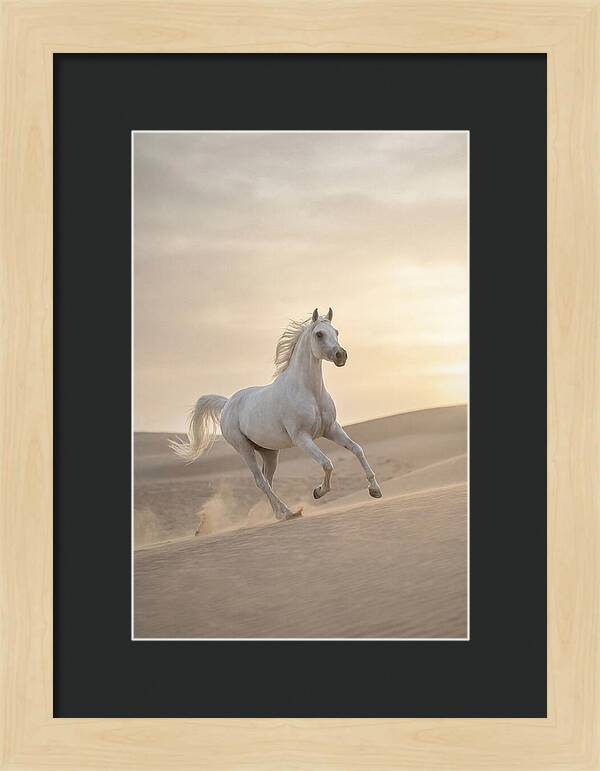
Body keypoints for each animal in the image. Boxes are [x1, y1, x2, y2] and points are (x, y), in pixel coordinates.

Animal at [169, 307, 382, 521]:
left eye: (336, 332)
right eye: (319, 334)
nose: (341, 355)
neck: (310, 392)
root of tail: (228, 403)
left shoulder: (331, 429)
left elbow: (357, 449)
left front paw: (375, 490)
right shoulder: (302, 438)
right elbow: (327, 463)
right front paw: (318, 491)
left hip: (269, 452)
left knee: (268, 480)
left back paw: (280, 513)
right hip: (244, 449)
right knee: (261, 481)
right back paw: (288, 512)